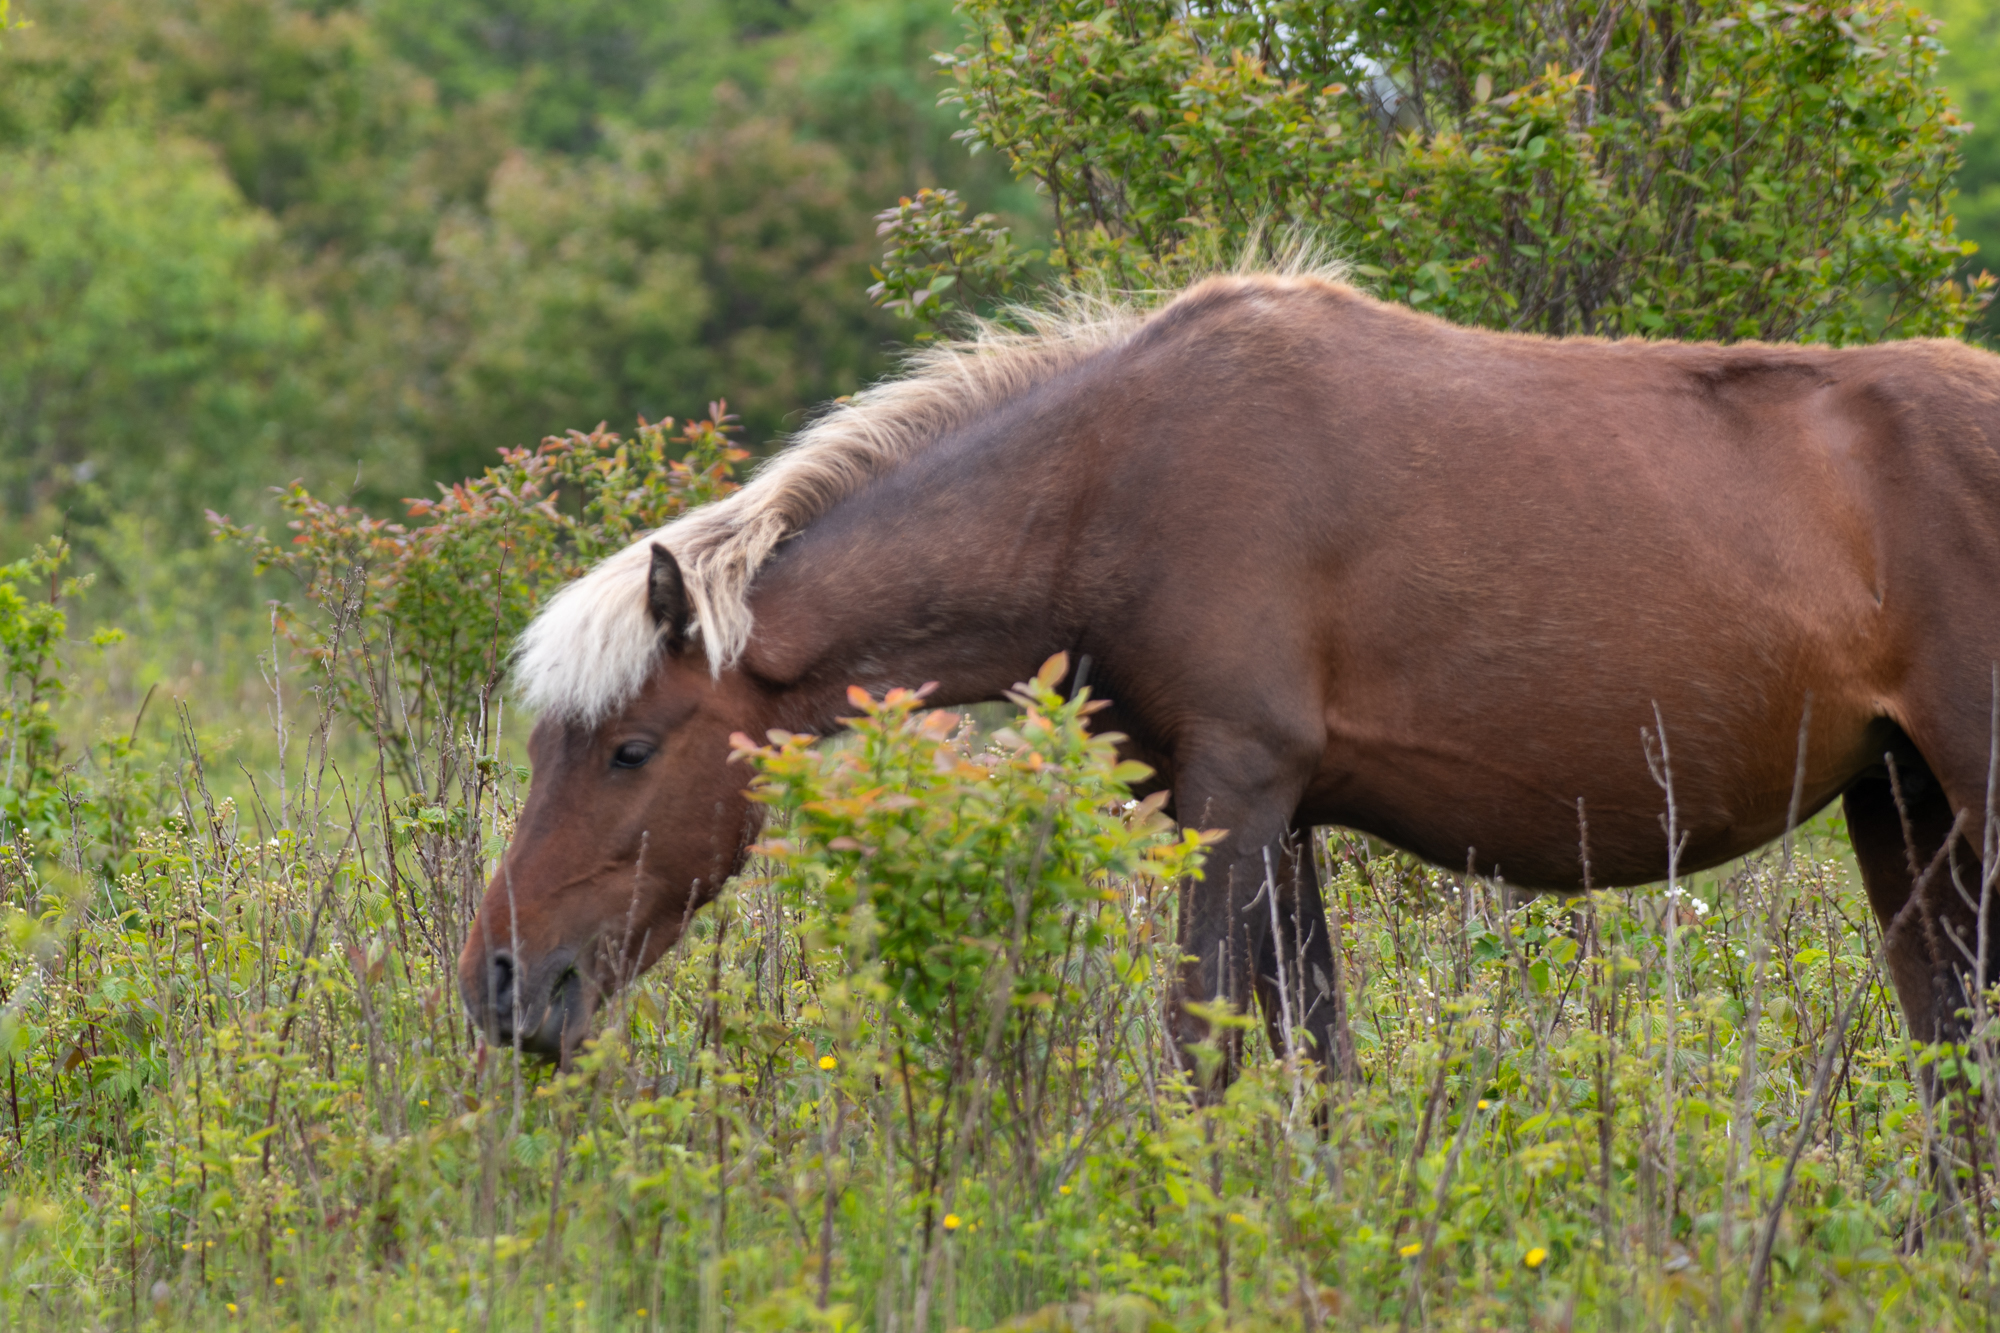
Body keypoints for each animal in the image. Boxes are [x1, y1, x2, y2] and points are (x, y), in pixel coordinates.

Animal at [457, 262, 1999, 1078]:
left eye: (631, 749)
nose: (498, 984)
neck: (1111, 483)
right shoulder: (1284, 820)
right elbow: (1312, 1056)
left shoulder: (1235, 797)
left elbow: (1202, 1048)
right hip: (1904, 813)